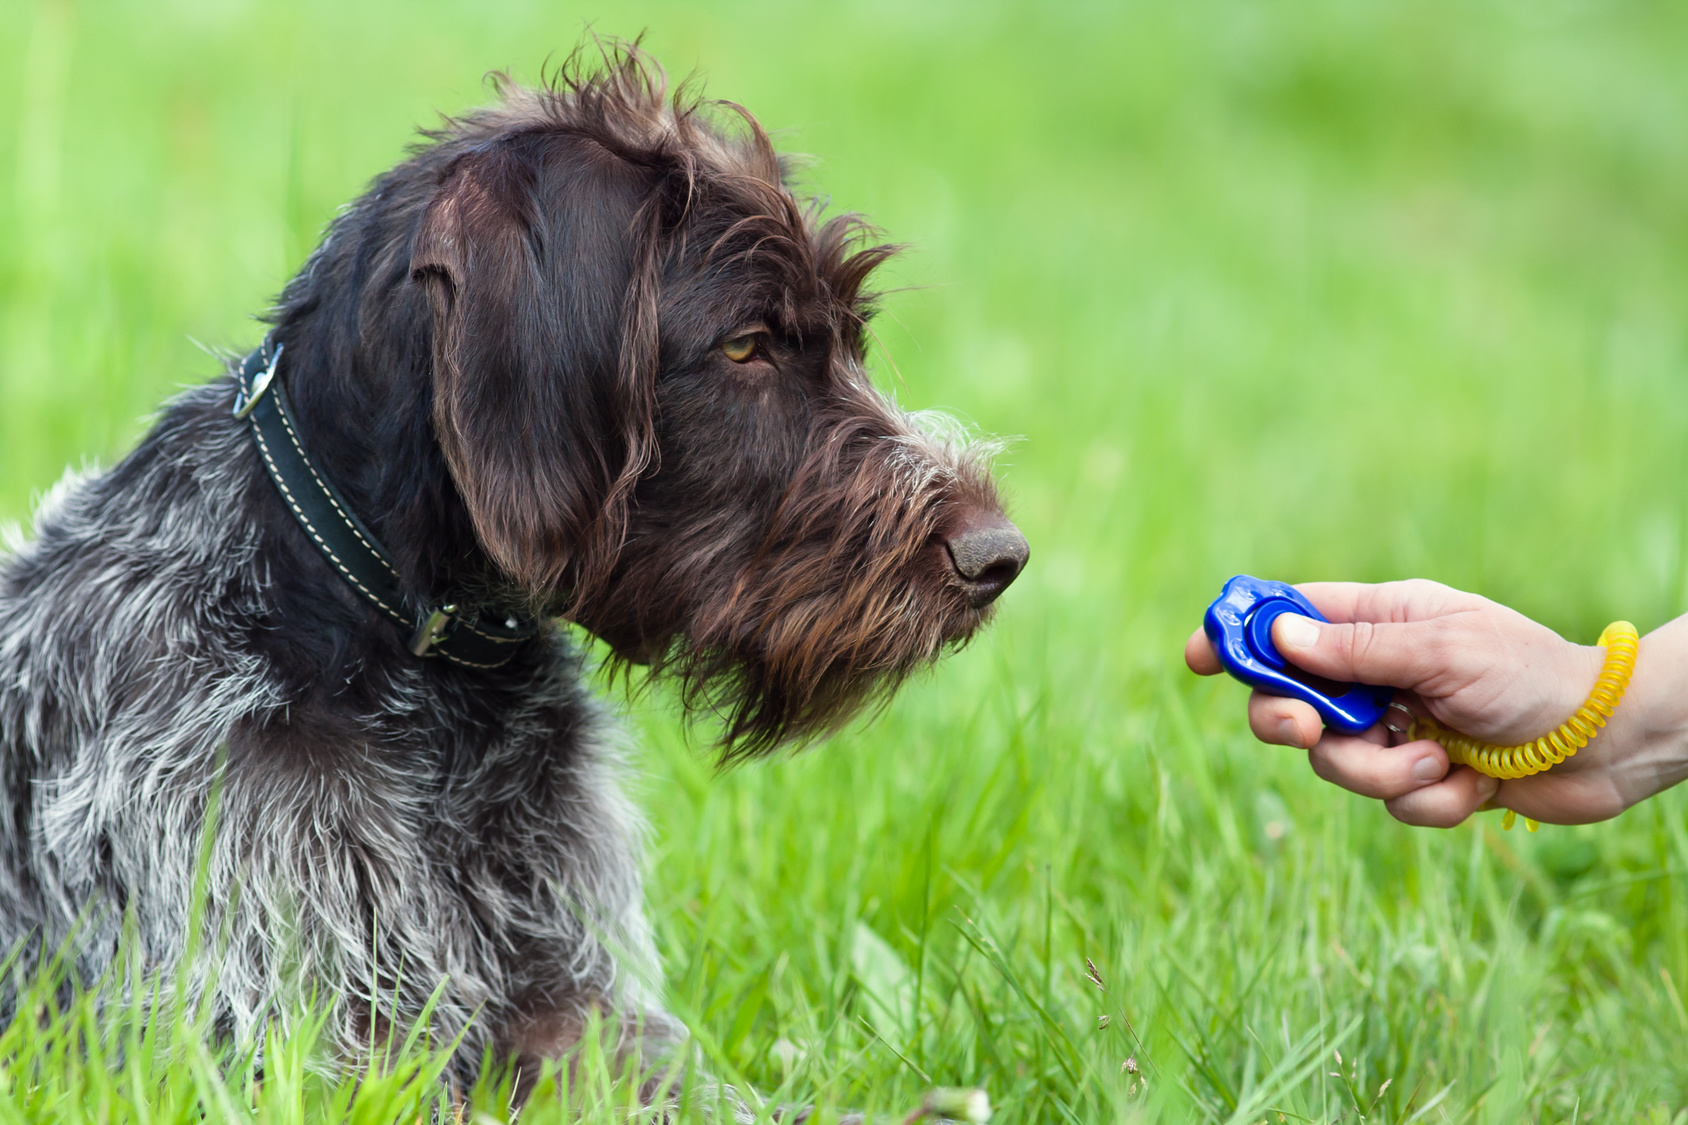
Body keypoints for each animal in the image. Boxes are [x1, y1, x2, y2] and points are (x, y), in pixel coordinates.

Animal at [0, 46, 1026, 1094]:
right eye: (748, 344)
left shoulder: (576, 1003)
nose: (999, 554)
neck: (419, 673)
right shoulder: (300, 1039)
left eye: (852, 340)